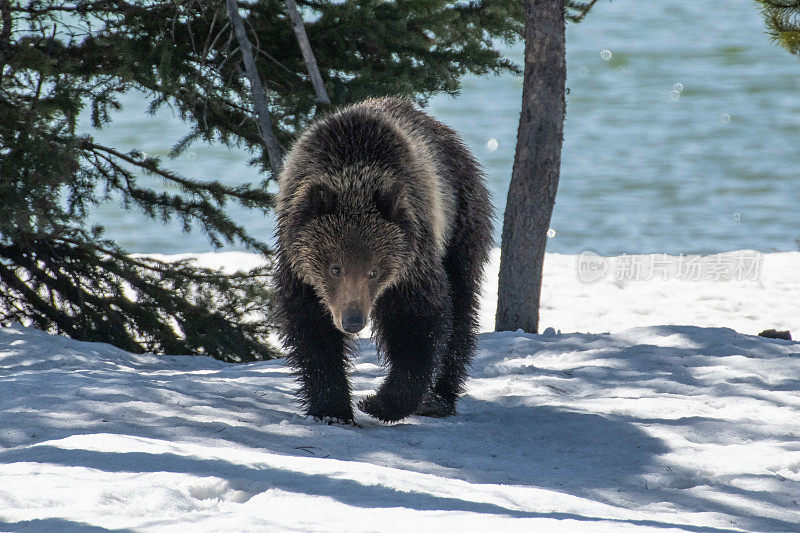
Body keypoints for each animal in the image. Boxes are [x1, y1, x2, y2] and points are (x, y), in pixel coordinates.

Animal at [276, 96, 490, 424]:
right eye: (335, 268)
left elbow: (417, 323)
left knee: (462, 308)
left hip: (461, 223)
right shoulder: (300, 269)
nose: (352, 320)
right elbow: (312, 330)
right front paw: (332, 408)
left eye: (374, 271)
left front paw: (378, 402)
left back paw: (439, 398)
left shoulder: (412, 261)